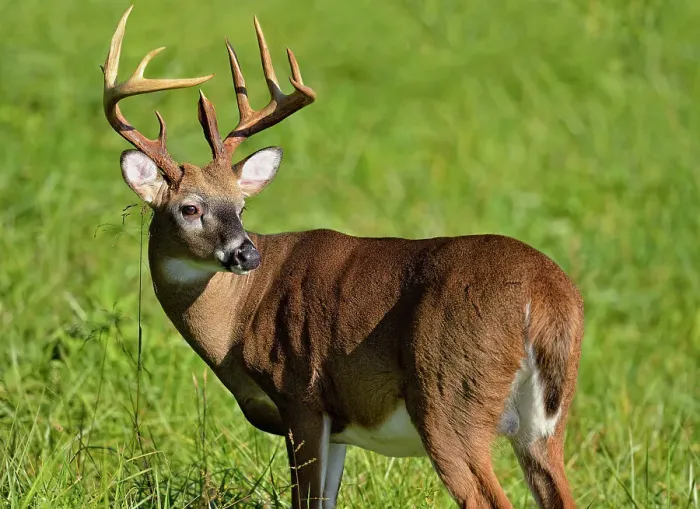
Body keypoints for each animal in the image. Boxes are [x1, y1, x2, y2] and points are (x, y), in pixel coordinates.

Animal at [102, 6, 584, 509]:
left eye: (240, 206)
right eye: (190, 208)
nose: (246, 253)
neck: (238, 318)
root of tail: (545, 294)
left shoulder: (301, 395)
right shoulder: (336, 427)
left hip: (450, 400)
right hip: (544, 424)